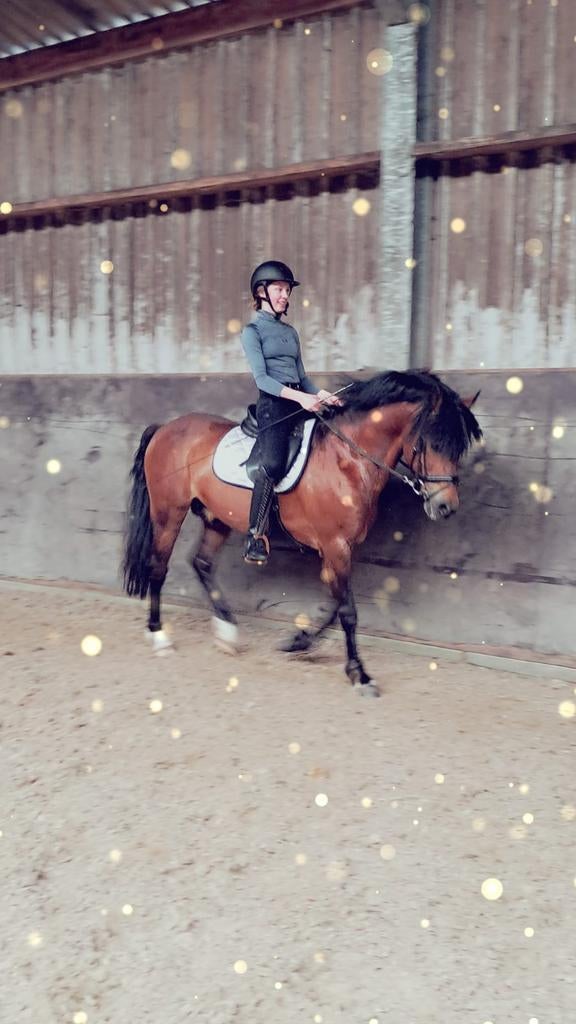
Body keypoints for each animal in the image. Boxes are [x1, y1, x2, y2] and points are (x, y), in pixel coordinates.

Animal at [122, 370, 482, 697]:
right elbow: (348, 611)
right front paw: (360, 674)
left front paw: (298, 642)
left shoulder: (340, 548)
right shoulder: (335, 545)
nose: (446, 507)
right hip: (168, 514)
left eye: (459, 448)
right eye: (434, 443)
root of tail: (166, 428)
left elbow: (335, 606)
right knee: (158, 566)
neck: (347, 459)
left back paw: (227, 633)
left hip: (216, 518)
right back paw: (159, 636)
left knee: (202, 563)